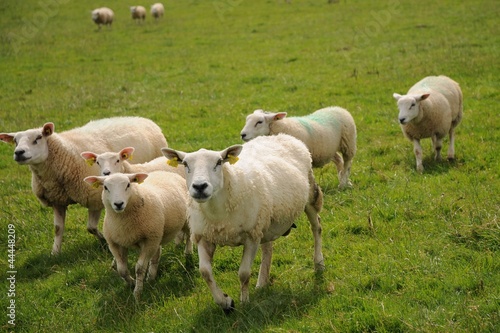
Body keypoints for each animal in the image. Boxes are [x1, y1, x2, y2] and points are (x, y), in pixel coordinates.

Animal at [0, 116, 168, 254]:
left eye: (38, 138)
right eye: (15, 141)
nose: (19, 152)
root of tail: (143, 119)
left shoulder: (94, 199)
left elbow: (91, 227)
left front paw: (103, 241)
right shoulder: (57, 201)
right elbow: (57, 229)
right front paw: (55, 252)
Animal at [84, 171, 189, 300]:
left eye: (128, 185)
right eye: (105, 187)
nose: (118, 204)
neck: (123, 222)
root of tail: (166, 172)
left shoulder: (149, 241)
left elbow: (139, 268)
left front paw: (137, 293)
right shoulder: (116, 243)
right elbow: (121, 270)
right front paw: (132, 283)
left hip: (185, 220)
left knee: (189, 236)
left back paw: (188, 254)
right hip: (157, 234)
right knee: (156, 255)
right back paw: (151, 277)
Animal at [162, 132, 326, 312]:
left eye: (219, 162)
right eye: (185, 164)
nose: (199, 186)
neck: (219, 215)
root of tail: (280, 135)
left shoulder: (251, 237)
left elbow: (244, 273)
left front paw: (245, 302)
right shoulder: (203, 236)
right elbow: (205, 272)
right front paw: (226, 302)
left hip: (309, 194)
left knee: (316, 227)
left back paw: (319, 263)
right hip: (265, 219)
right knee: (268, 248)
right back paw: (262, 282)